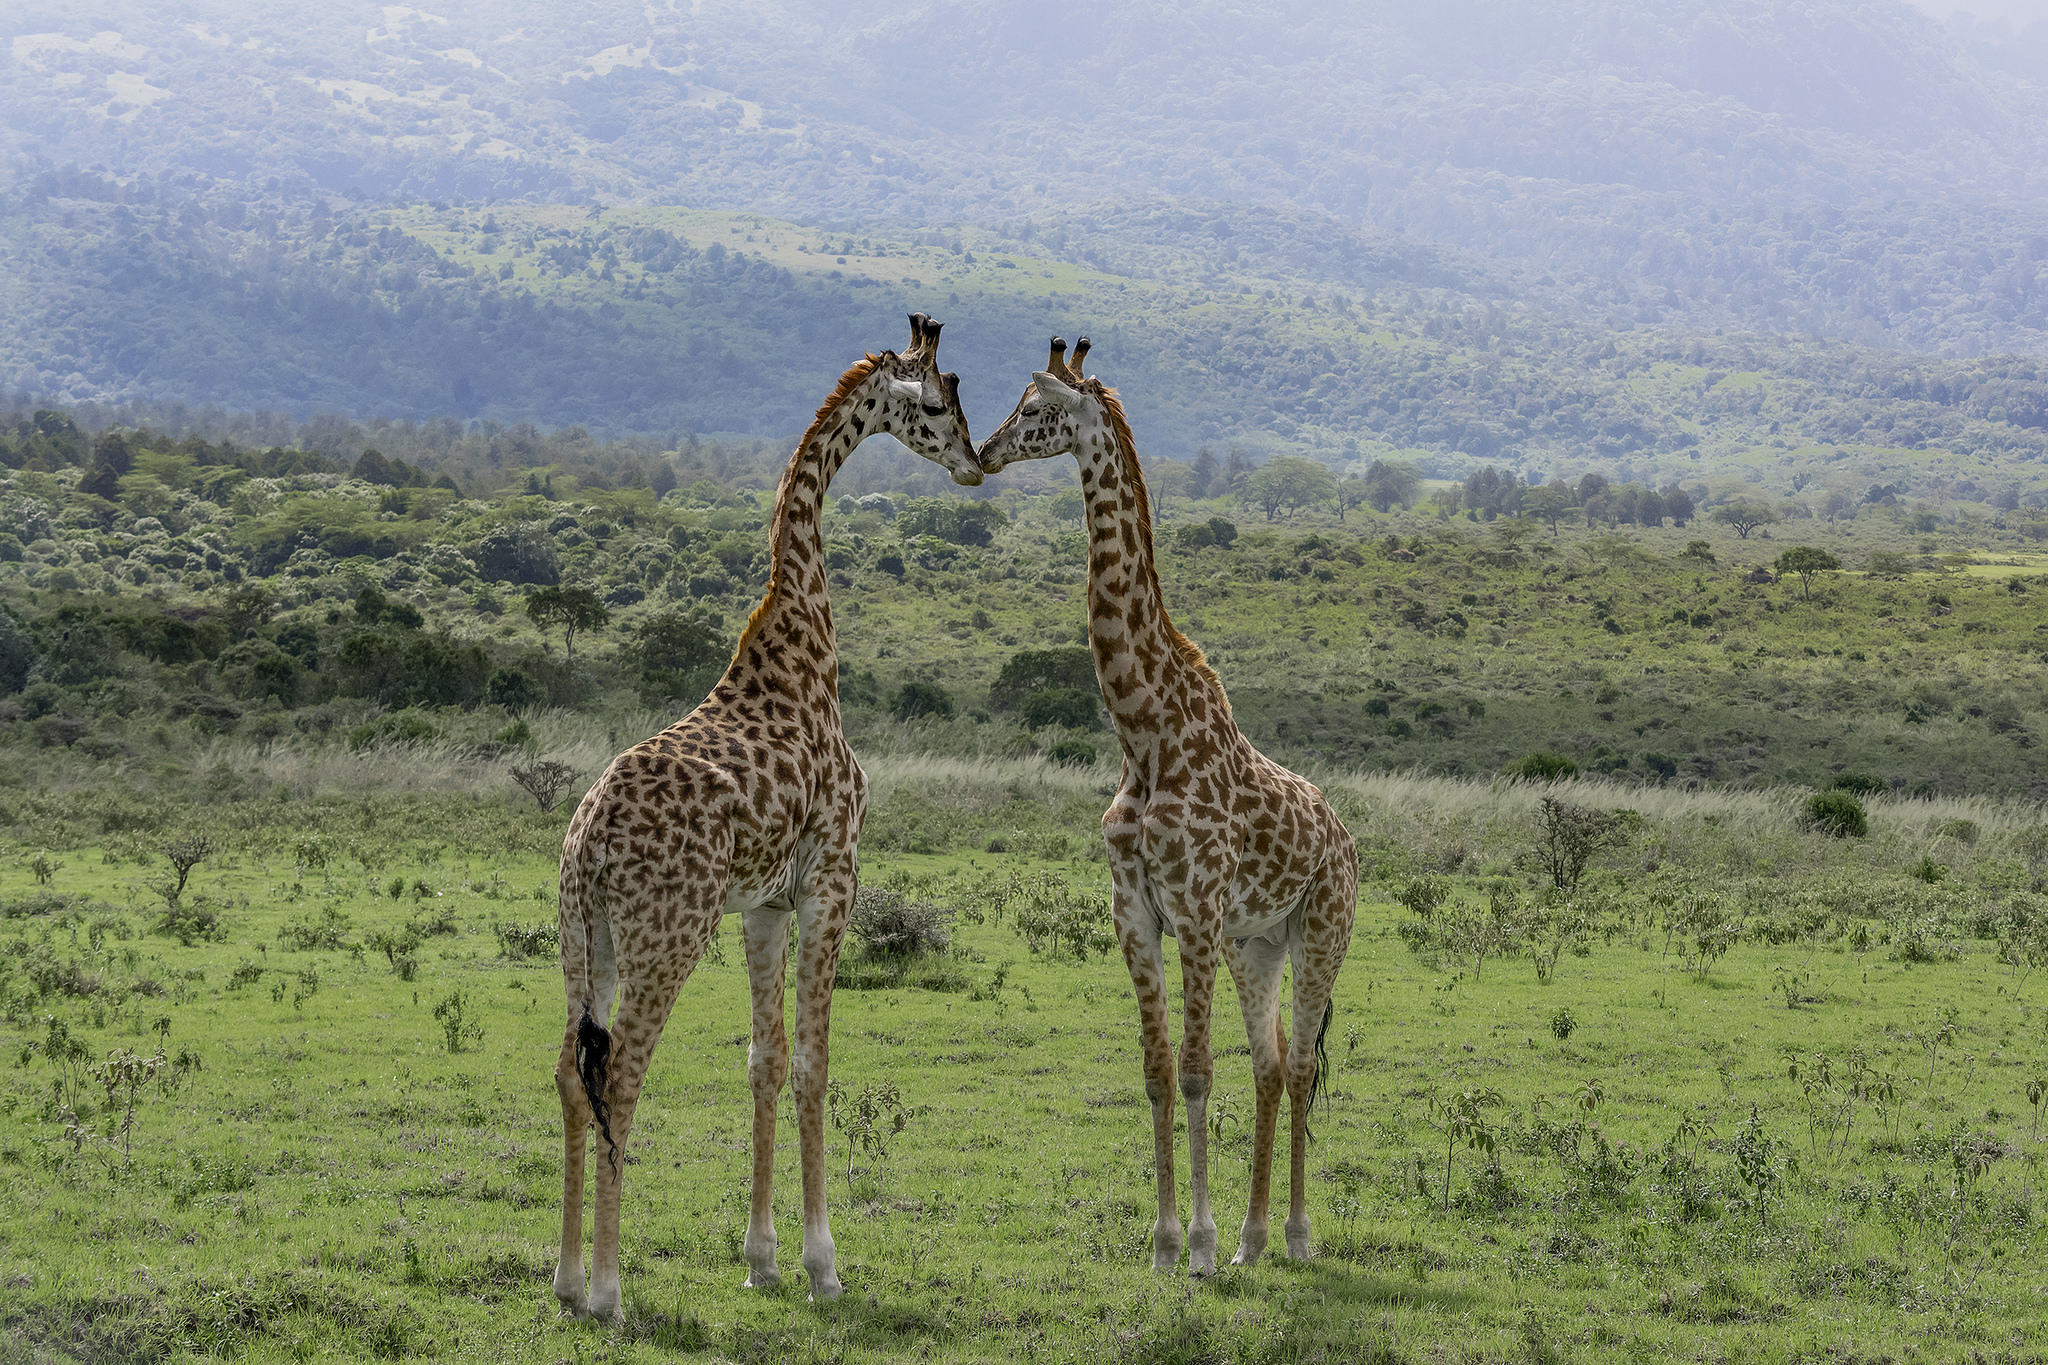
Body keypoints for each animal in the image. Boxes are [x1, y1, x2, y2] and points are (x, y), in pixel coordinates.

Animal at [557, 315, 978, 1317]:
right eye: (941, 402)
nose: (977, 464)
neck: (804, 650)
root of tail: (588, 845)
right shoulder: (832, 878)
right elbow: (813, 1061)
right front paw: (824, 1263)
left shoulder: (762, 906)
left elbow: (762, 1058)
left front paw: (761, 1255)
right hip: (665, 932)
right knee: (619, 1074)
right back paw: (610, 1290)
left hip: (582, 937)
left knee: (567, 1074)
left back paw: (563, 1277)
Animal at [974, 335, 1359, 1277]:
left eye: (1036, 410)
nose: (986, 453)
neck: (1142, 732)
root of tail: (1345, 835)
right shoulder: (1135, 911)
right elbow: (1155, 1070)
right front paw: (1163, 1240)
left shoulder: (1193, 908)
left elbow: (1193, 1070)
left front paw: (1200, 1244)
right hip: (1256, 943)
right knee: (1271, 1064)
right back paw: (1256, 1240)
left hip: (1321, 929)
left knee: (1300, 1067)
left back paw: (1294, 1236)